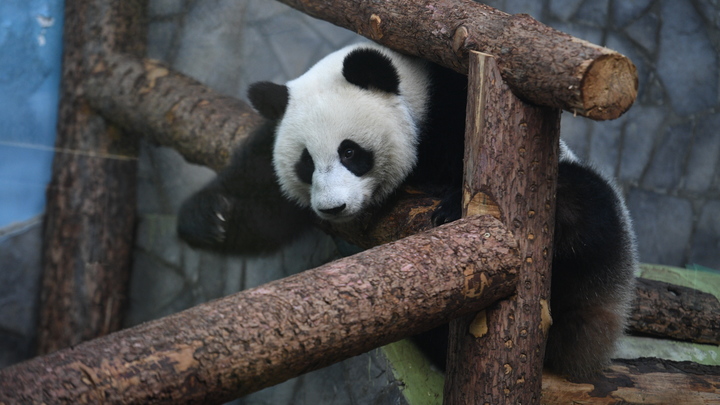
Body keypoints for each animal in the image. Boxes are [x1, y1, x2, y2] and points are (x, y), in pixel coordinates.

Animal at [179, 42, 636, 378]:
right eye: (306, 164)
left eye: (350, 152)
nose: (332, 207)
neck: (414, 89)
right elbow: (262, 193)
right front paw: (212, 217)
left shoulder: (453, 109)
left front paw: (451, 206)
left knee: (585, 214)